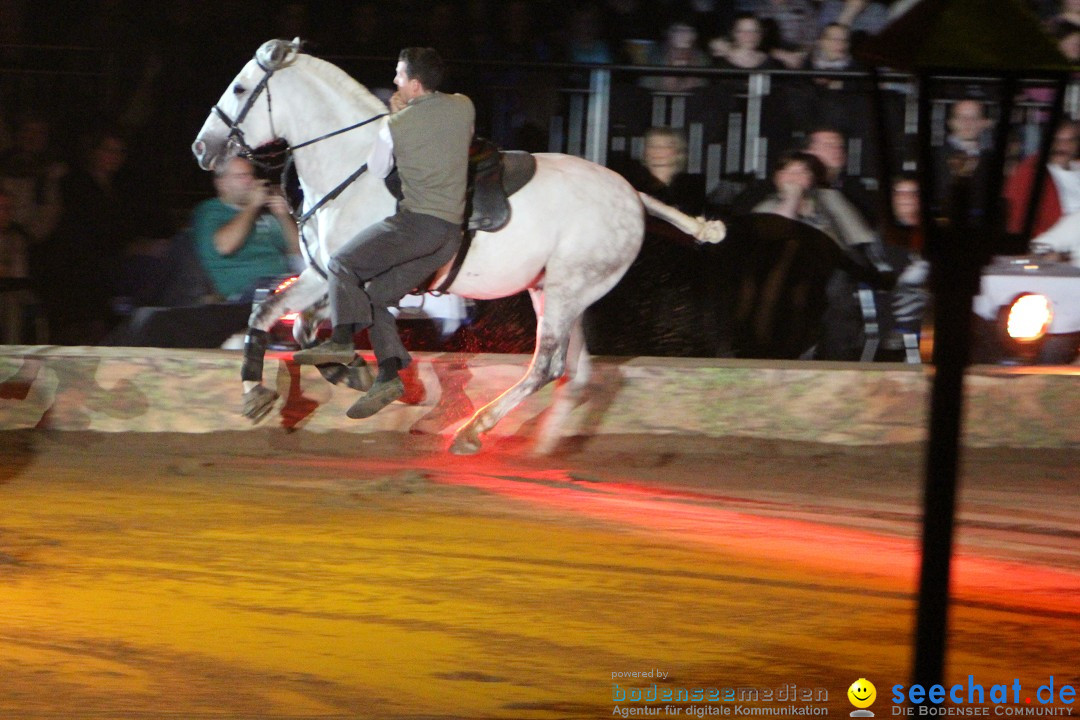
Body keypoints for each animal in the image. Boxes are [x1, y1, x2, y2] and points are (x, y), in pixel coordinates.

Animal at [192, 39, 725, 453]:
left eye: (240, 89)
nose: (202, 147)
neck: (353, 167)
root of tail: (632, 193)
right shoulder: (324, 274)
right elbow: (280, 317)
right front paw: (265, 392)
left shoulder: (358, 274)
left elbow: (332, 326)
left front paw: (362, 378)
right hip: (556, 290)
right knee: (576, 373)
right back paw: (539, 446)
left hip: (567, 291)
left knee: (547, 366)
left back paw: (474, 430)